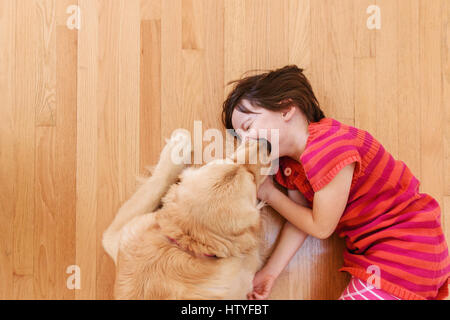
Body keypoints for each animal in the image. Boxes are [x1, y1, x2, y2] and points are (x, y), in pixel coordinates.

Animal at [102, 133, 272, 300]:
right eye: (252, 179)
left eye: (231, 161)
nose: (267, 143)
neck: (186, 241)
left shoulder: (115, 236)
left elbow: (155, 184)